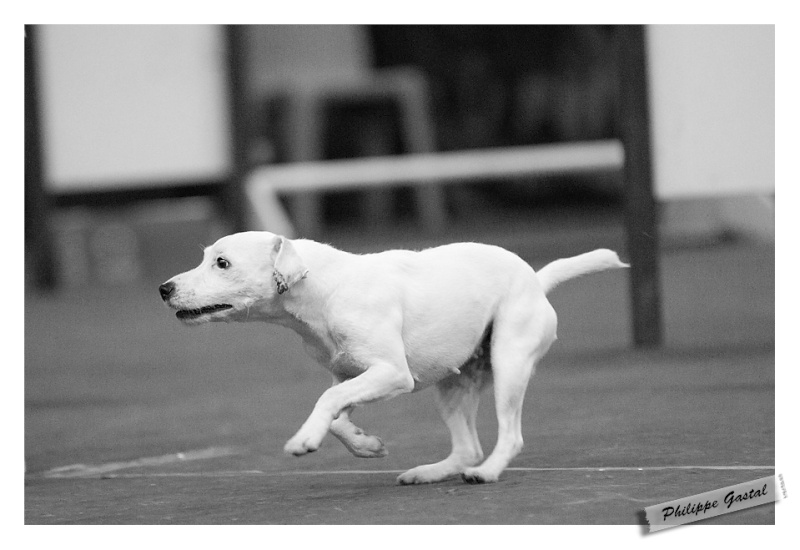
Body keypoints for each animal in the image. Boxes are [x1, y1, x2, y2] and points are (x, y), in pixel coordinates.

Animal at [159, 233, 628, 488]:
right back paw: (429, 472)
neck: (322, 291)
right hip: (452, 387)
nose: (164, 288)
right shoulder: (346, 374)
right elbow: (337, 416)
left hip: (509, 365)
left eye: (222, 263)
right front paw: (366, 445)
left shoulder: (391, 374)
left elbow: (324, 406)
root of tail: (535, 280)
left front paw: (304, 440)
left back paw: (488, 472)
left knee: (508, 436)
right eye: (206, 257)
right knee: (467, 447)